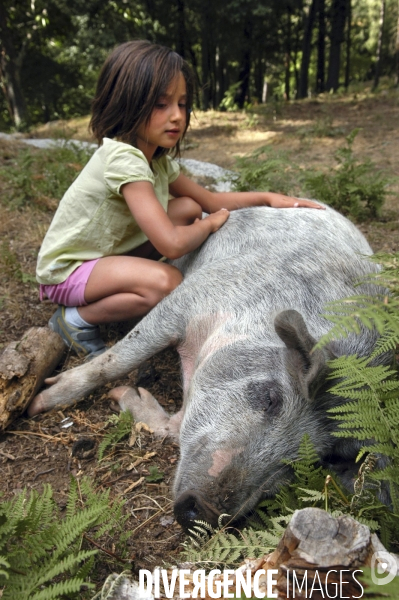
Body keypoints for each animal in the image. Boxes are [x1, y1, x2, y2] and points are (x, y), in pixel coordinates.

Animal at [28, 205, 384, 528]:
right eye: (271, 398)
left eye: (317, 458)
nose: (207, 514)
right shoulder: (190, 299)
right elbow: (116, 361)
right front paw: (39, 403)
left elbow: (174, 427)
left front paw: (128, 395)